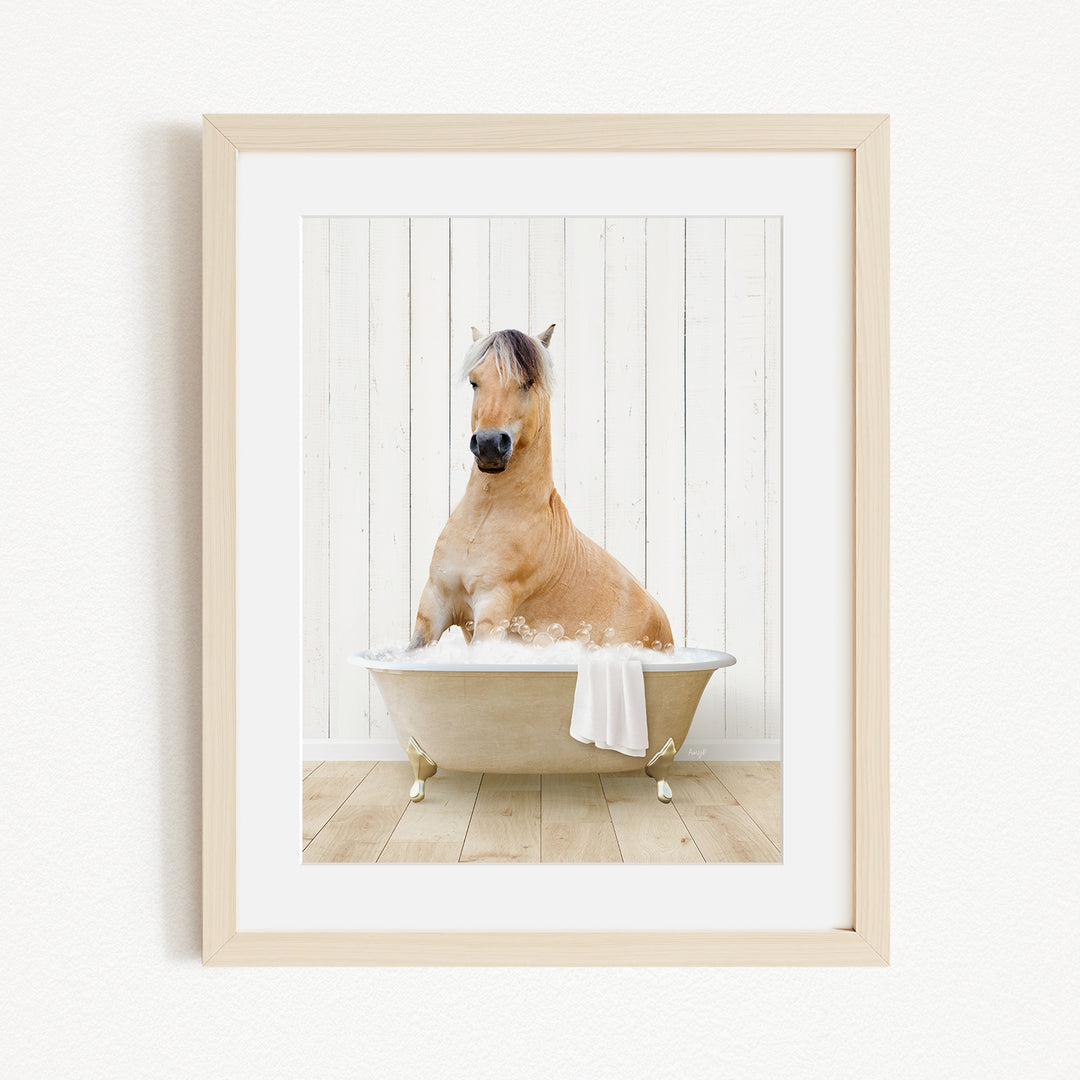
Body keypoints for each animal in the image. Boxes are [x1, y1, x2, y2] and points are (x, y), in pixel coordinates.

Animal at [408, 325, 673, 650]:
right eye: (474, 381)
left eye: (527, 382)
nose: (488, 445)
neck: (483, 521)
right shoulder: (434, 604)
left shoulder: (493, 609)